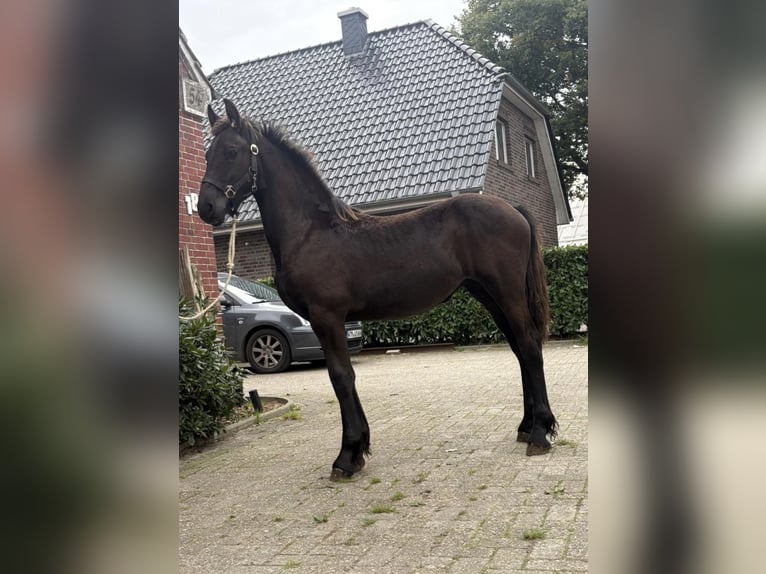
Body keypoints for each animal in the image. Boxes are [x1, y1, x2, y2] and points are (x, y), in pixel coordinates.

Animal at [198, 99, 557, 480]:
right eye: (207, 154)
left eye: (232, 151)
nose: (206, 207)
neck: (312, 231)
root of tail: (512, 209)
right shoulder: (331, 321)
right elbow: (345, 377)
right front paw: (359, 450)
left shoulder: (326, 317)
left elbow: (341, 377)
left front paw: (346, 456)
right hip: (489, 296)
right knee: (520, 349)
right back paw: (526, 427)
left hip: (507, 293)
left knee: (529, 346)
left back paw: (540, 434)